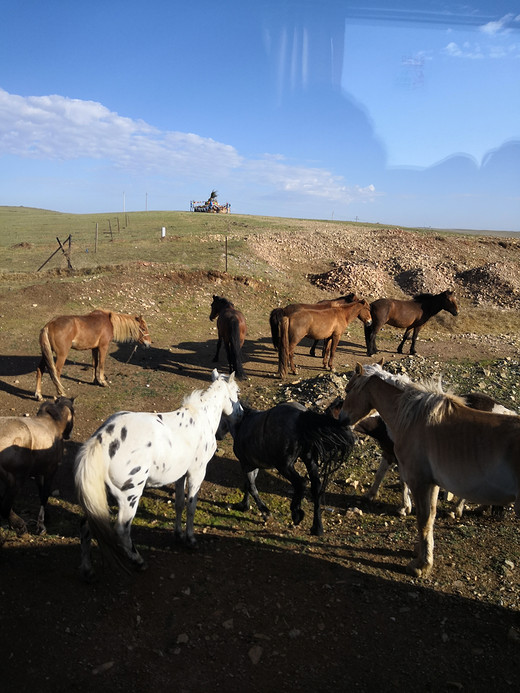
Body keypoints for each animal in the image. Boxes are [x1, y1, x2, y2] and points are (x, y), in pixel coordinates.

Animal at [0, 394, 75, 536]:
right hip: (16, 480)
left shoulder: (39, 473)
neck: (54, 423)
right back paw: (20, 526)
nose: (68, 435)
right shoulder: (51, 471)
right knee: (5, 506)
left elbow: (41, 493)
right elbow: (45, 493)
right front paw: (41, 525)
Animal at [73, 368, 244, 580]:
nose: (241, 415)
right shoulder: (197, 473)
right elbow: (191, 507)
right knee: (121, 530)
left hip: (100, 498)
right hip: (130, 496)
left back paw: (87, 569)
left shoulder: (180, 476)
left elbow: (179, 504)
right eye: (237, 393)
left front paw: (178, 535)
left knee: (86, 527)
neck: (201, 418)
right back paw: (138, 561)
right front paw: (190, 539)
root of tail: (103, 438)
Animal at [217, 400, 356, 536]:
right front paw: (244, 506)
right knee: (316, 487)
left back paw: (296, 513)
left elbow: (251, 487)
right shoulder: (253, 466)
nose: (217, 436)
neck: (242, 422)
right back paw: (317, 528)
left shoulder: (246, 465)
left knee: (301, 483)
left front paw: (264, 512)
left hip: (284, 466)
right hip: (308, 459)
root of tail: (301, 415)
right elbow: (248, 486)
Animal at [338, 362, 520, 580]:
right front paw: (421, 550)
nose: (341, 419)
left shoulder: (419, 479)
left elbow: (422, 518)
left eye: (348, 390)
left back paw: (457, 510)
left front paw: (421, 564)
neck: (410, 418)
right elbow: (429, 516)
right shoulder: (430, 480)